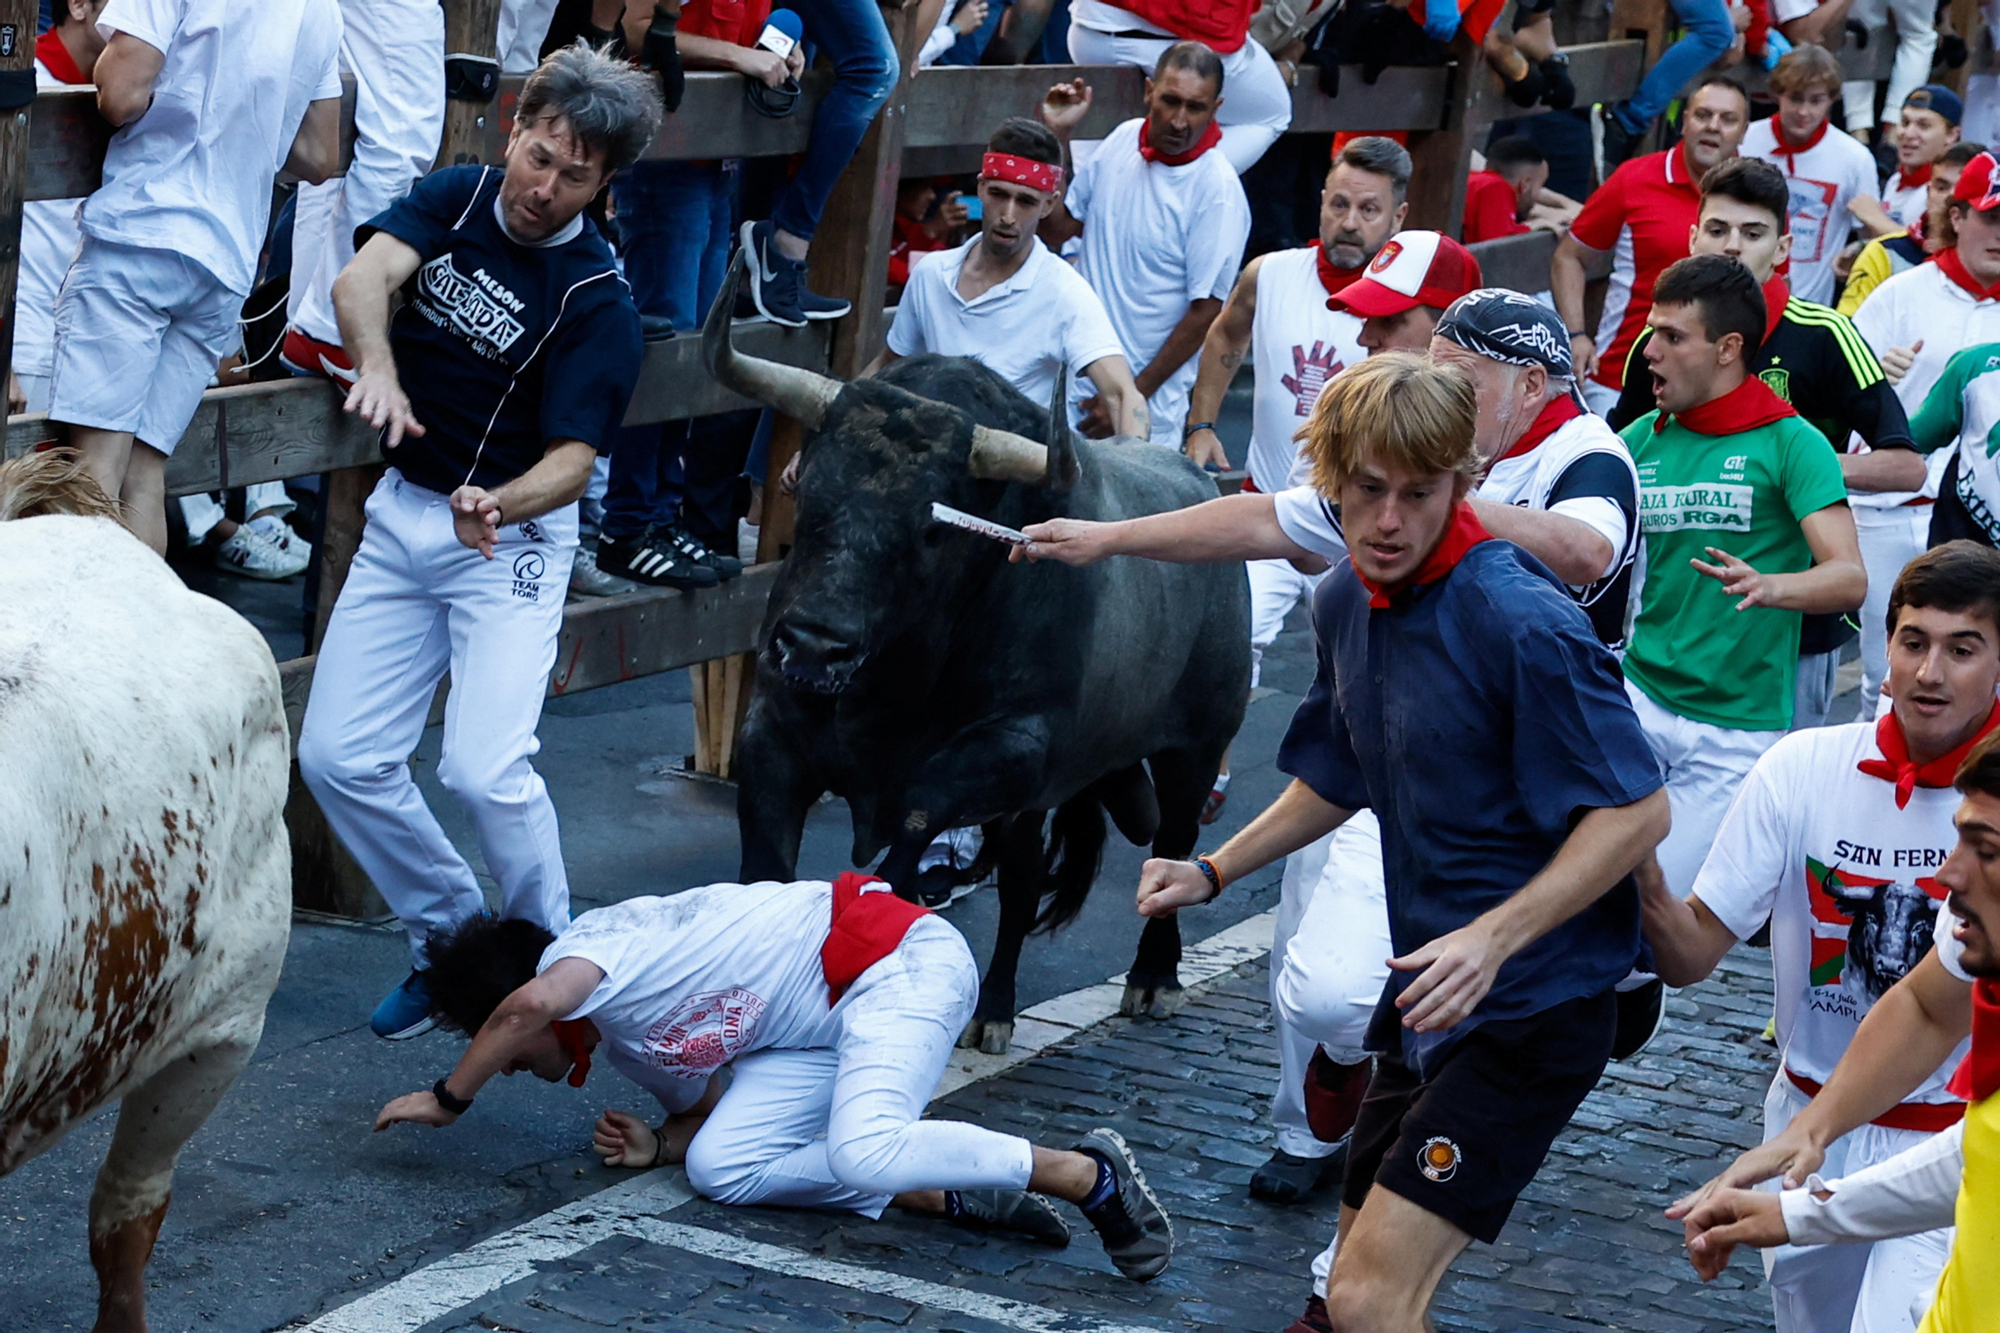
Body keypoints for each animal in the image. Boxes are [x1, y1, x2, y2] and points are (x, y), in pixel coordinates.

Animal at [708, 256, 1248, 1048]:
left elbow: (917, 815)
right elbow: (767, 869)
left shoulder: (1013, 746)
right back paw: (993, 1007)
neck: (892, 686)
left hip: (1196, 746)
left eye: (933, 530)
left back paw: (1152, 977)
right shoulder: (773, 739)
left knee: (1173, 848)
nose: (813, 643)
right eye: (811, 492)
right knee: (1022, 884)